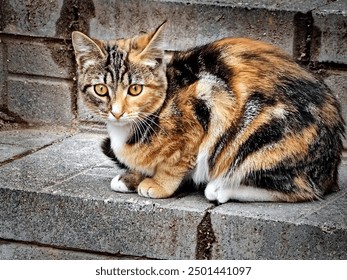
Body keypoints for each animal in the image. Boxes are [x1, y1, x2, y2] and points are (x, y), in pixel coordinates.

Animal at [71, 21, 346, 201]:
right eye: (101, 89)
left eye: (135, 89)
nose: (116, 112)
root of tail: (331, 169)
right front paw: (130, 177)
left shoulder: (205, 101)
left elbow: (177, 160)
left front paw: (158, 184)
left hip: (265, 134)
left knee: (300, 188)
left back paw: (220, 188)